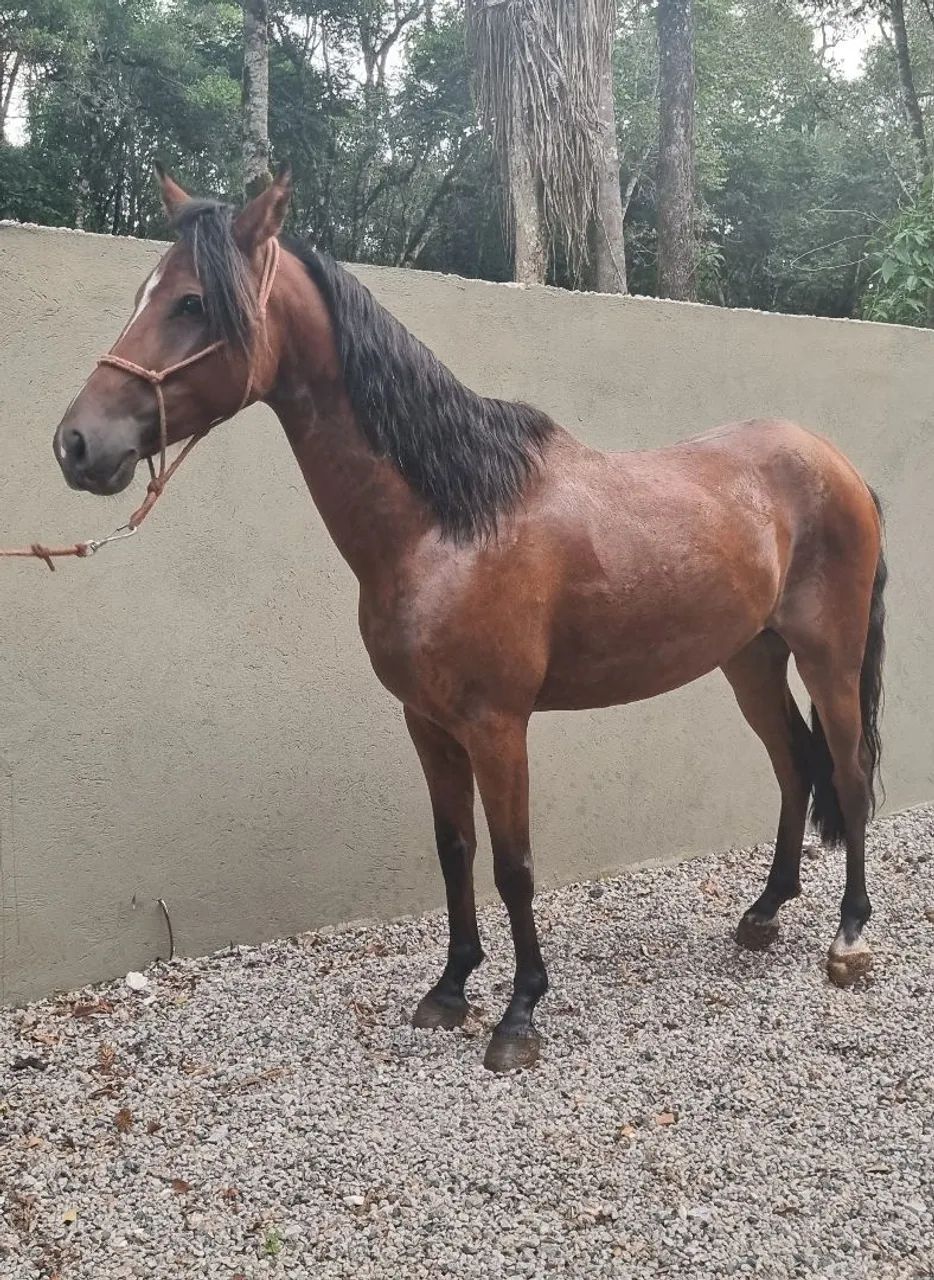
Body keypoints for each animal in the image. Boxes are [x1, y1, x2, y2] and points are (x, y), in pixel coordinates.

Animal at [52, 165, 886, 1072]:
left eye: (192, 303)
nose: (77, 443)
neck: (446, 523)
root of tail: (840, 465)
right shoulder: (426, 722)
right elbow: (455, 851)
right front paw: (450, 990)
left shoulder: (498, 725)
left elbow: (514, 864)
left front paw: (519, 1016)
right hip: (750, 660)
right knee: (794, 767)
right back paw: (764, 913)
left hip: (829, 657)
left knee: (847, 772)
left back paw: (848, 939)